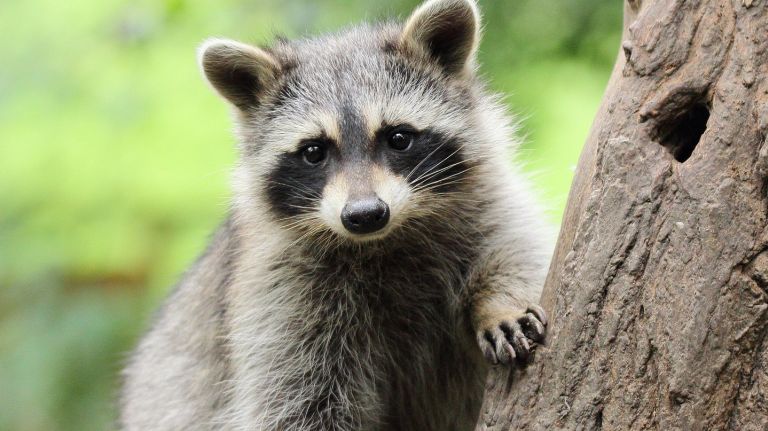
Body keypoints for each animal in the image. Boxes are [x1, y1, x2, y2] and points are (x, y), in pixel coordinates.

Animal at [119, 0, 553, 429]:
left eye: (398, 137)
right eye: (314, 151)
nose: (365, 214)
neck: (384, 240)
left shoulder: (488, 202)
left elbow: (515, 250)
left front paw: (500, 303)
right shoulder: (280, 293)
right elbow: (298, 399)